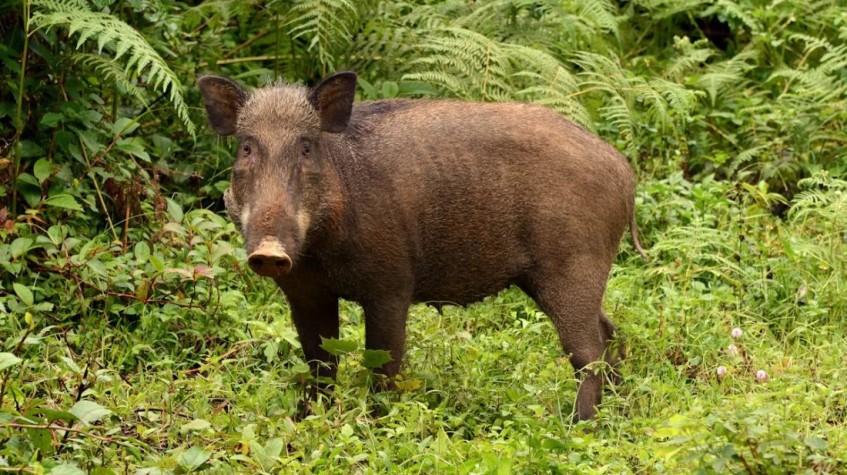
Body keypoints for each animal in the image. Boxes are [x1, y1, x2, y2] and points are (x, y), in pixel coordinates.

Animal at [198, 72, 646, 421]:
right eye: (246, 147)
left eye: (306, 147)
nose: (269, 251)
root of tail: (623, 169)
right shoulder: (305, 293)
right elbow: (320, 364)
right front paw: (307, 420)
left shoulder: (391, 287)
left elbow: (383, 364)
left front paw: (377, 425)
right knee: (608, 332)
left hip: (572, 266)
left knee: (587, 350)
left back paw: (579, 426)